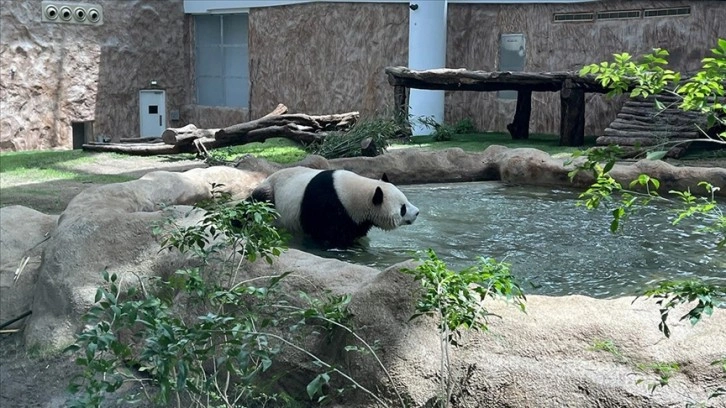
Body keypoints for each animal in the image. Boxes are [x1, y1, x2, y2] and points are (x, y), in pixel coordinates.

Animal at [250, 167, 420, 249]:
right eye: (403, 208)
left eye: (406, 200)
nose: (417, 212)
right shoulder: (326, 205)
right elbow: (328, 234)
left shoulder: (357, 219)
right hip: (270, 196)